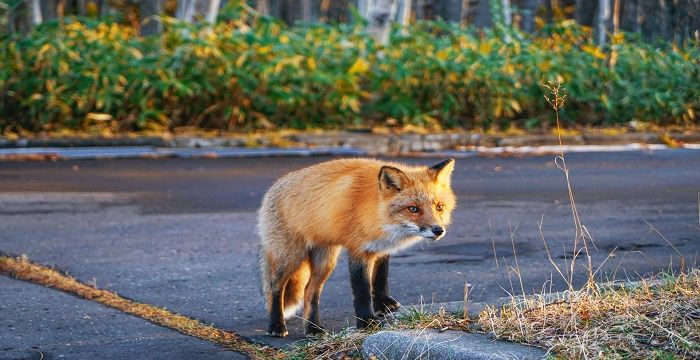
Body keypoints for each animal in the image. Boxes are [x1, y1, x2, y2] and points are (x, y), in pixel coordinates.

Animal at [256, 158, 454, 338]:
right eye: (413, 209)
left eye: (439, 207)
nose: (438, 230)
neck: (377, 213)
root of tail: (273, 188)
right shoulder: (359, 250)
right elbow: (362, 291)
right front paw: (367, 322)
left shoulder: (381, 248)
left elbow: (380, 279)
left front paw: (383, 304)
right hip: (291, 257)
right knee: (274, 288)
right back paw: (276, 325)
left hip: (325, 261)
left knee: (309, 292)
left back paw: (313, 328)